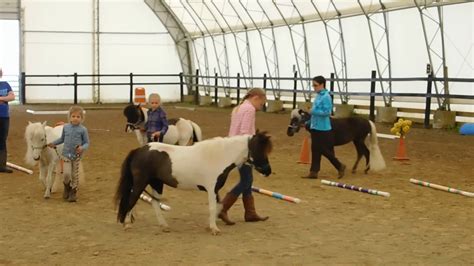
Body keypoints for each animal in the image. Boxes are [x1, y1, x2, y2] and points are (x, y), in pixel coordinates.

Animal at [114, 131, 274, 235]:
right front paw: (214, 229)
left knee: (154, 202)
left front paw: (211, 225)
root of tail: (139, 150)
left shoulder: (216, 189)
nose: (268, 171)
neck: (220, 156)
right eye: (259, 149)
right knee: (131, 200)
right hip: (140, 183)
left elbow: (219, 206)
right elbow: (212, 207)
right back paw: (127, 225)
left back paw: (164, 226)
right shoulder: (211, 188)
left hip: (157, 184)